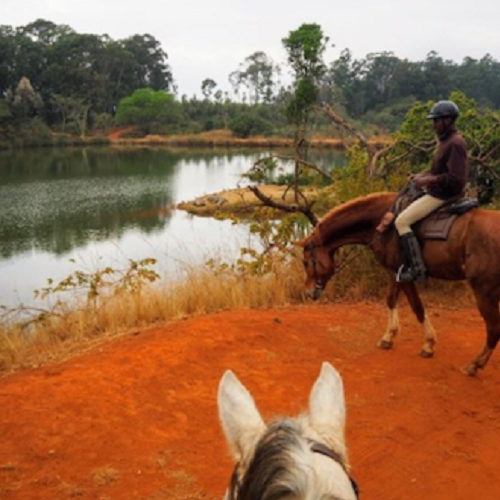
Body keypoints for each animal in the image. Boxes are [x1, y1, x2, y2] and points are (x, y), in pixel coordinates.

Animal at [296, 193, 500, 376]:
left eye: (305, 262)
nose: (309, 292)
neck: (381, 225)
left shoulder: (401, 274)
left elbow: (416, 306)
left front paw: (427, 344)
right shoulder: (395, 273)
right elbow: (393, 300)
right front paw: (390, 337)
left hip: (484, 291)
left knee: (493, 328)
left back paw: (474, 365)